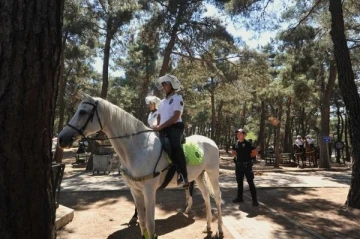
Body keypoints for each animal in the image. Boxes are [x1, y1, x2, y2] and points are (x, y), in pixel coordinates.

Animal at [58, 95, 222, 239]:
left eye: (82, 112)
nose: (61, 139)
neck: (137, 148)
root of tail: (210, 141)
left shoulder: (149, 191)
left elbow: (150, 224)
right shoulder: (135, 190)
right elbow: (142, 223)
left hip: (212, 173)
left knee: (217, 197)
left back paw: (219, 230)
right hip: (199, 175)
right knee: (206, 197)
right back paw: (208, 226)